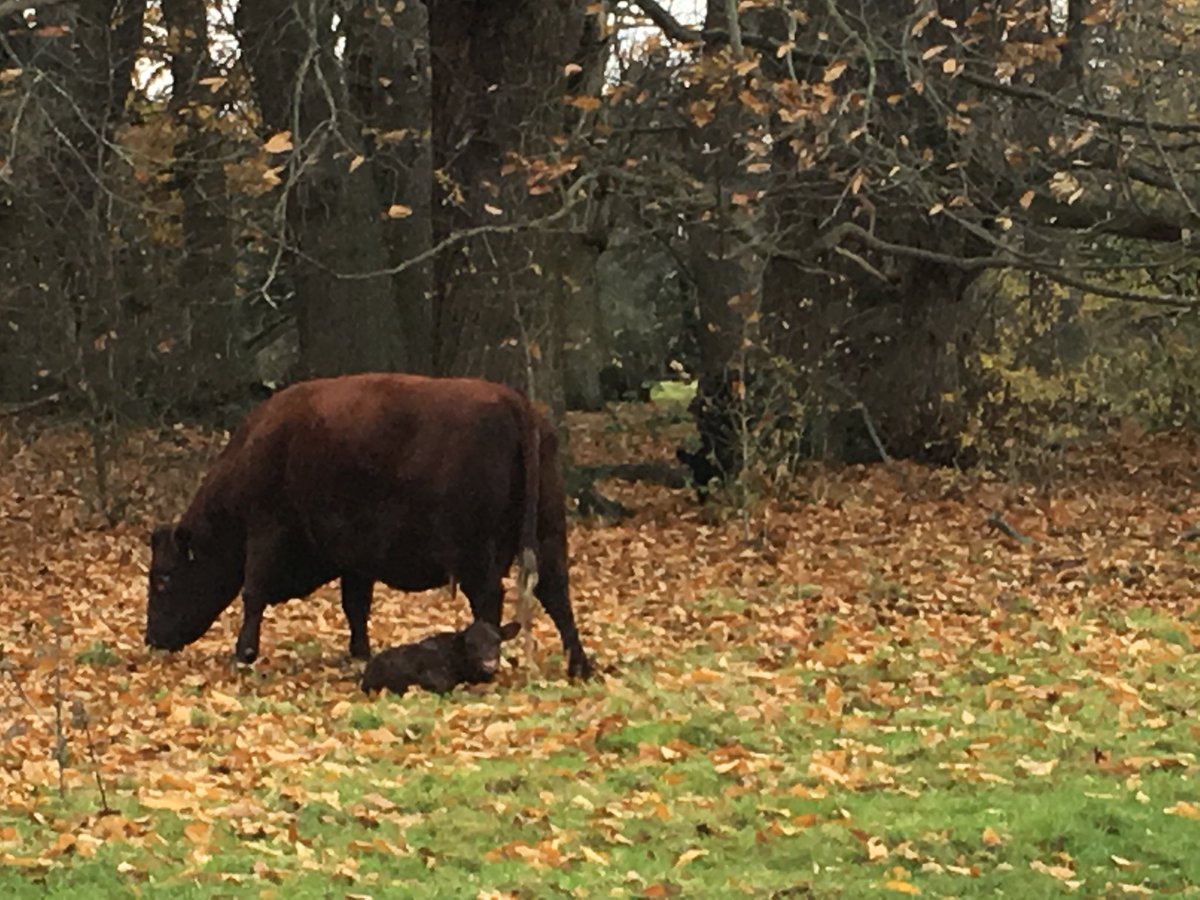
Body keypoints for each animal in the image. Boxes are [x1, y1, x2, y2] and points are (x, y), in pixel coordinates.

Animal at [145, 373, 593, 680]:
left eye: (163, 578)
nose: (152, 639)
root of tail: (513, 401)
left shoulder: (267, 533)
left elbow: (253, 593)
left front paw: (243, 654)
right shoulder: (354, 559)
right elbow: (355, 605)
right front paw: (359, 651)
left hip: (477, 554)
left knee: (490, 599)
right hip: (548, 533)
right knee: (556, 592)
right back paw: (580, 666)